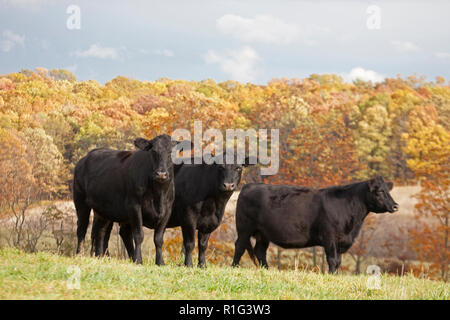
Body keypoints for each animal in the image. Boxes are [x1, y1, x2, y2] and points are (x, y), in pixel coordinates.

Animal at [73, 135, 180, 264]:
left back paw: (100, 256)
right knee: (82, 228)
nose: (161, 174)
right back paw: (79, 254)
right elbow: (139, 235)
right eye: (153, 152)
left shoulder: (167, 210)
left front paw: (160, 262)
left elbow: (158, 239)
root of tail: (84, 159)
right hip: (80, 201)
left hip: (103, 209)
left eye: (170, 152)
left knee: (100, 231)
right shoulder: (134, 206)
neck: (159, 195)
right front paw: (138, 260)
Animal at [92, 154, 255, 268]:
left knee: (122, 233)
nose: (228, 185)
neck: (214, 204)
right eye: (220, 167)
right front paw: (188, 265)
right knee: (103, 231)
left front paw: (202, 265)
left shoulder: (209, 222)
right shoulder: (188, 217)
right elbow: (189, 243)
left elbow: (203, 245)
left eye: (238, 168)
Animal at [232, 176, 398, 274]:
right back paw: (234, 267)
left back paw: (267, 270)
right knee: (240, 246)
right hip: (244, 228)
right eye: (379, 191)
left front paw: (335, 276)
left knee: (260, 251)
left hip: (263, 233)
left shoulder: (341, 240)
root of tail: (249, 186)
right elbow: (332, 259)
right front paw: (331, 276)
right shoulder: (329, 237)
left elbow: (338, 261)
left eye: (388, 190)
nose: (395, 206)